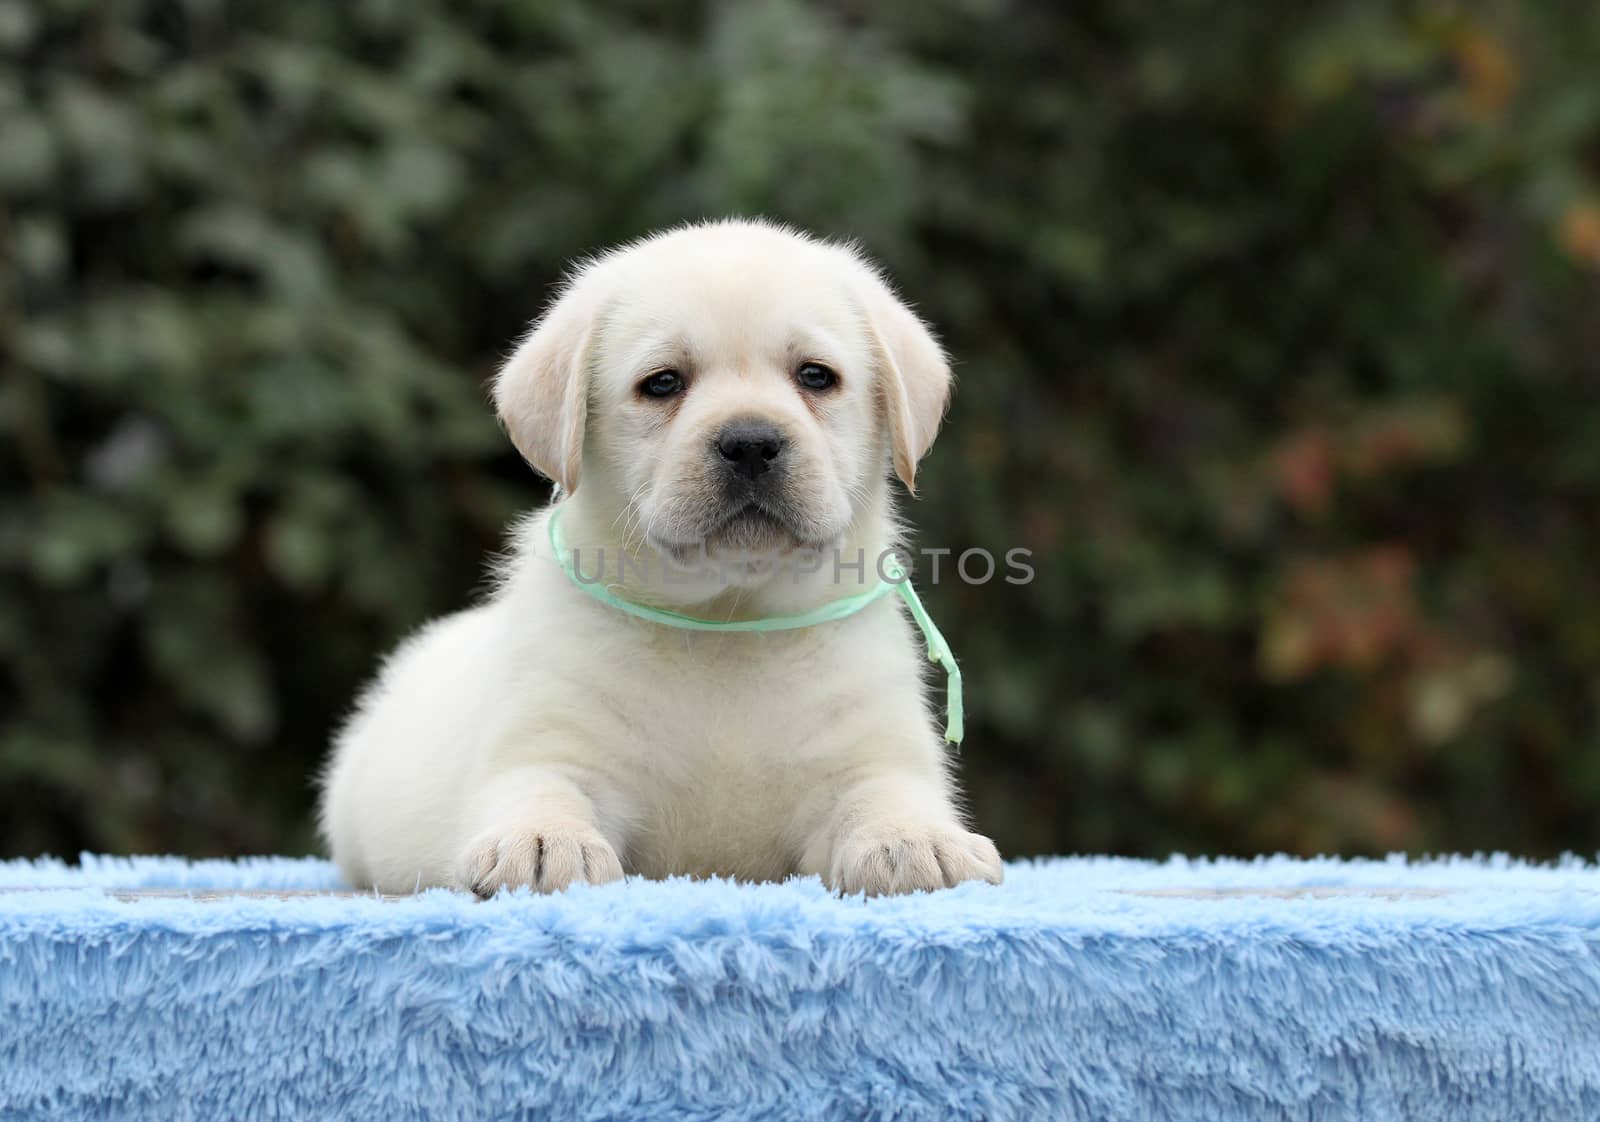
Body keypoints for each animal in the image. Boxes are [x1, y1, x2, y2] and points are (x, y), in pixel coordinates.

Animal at [318, 219, 1004, 896]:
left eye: (816, 376)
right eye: (663, 383)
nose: (750, 442)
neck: (730, 618)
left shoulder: (873, 752)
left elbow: (886, 794)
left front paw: (916, 840)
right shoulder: (548, 742)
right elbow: (543, 788)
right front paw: (541, 842)